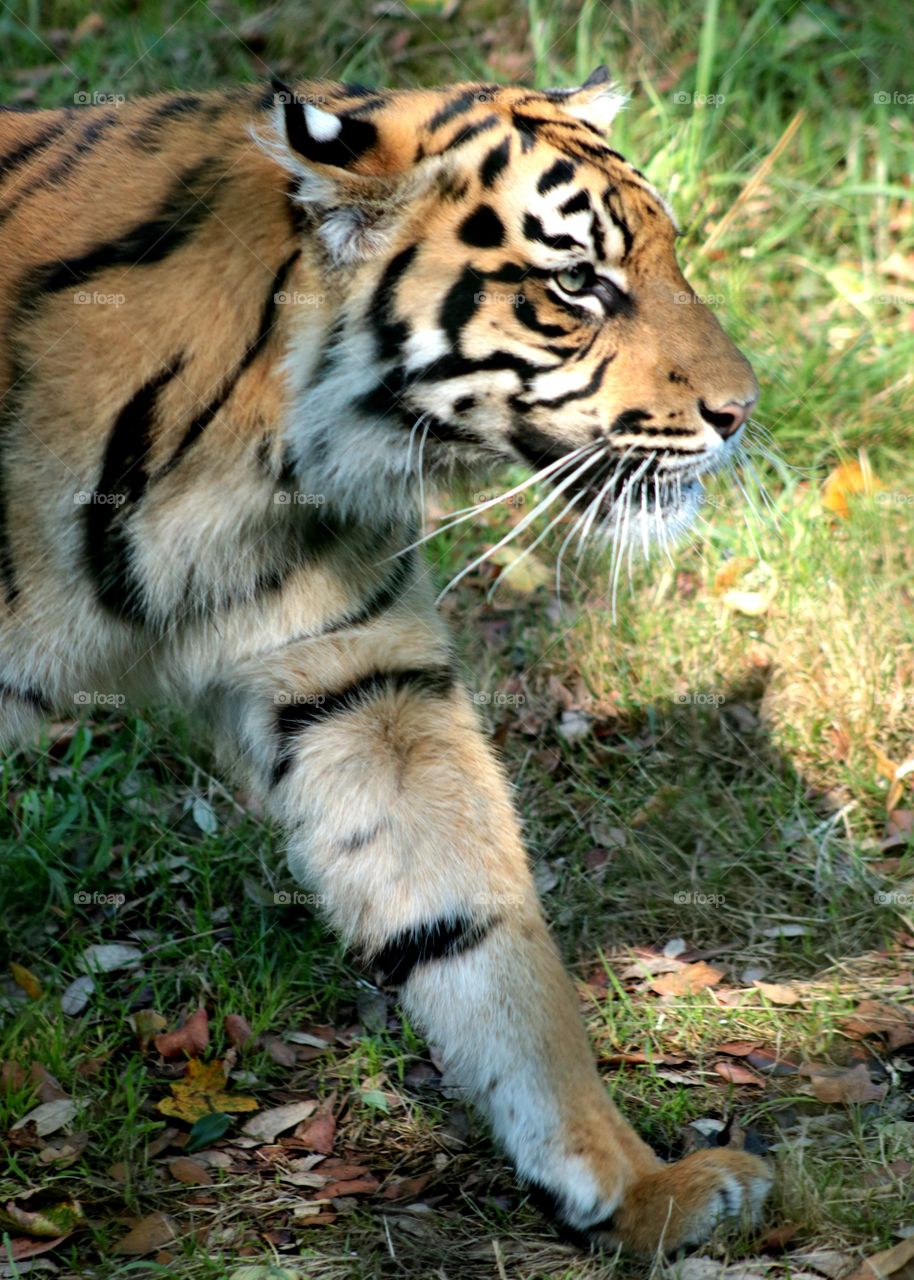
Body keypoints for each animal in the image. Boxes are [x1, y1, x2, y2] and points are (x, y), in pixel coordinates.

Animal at [0, 68, 770, 1251]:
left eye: (666, 256)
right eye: (577, 282)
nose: (741, 411)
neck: (251, 459)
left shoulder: (354, 680)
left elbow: (479, 930)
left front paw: (636, 1184)